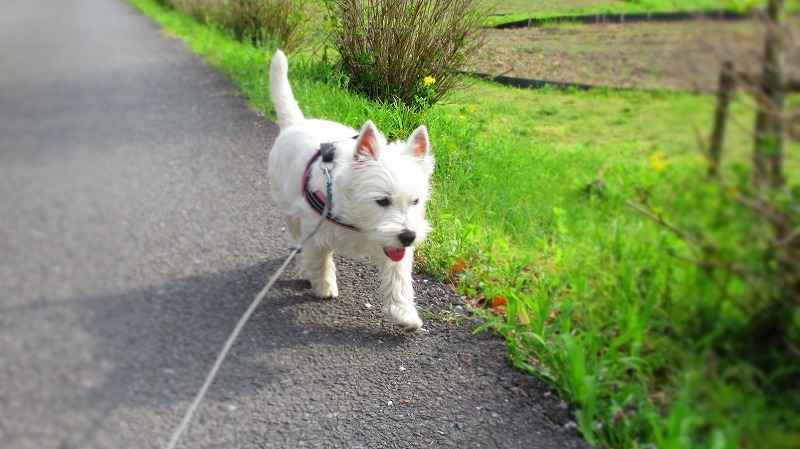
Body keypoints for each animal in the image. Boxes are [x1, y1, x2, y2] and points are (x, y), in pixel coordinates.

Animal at [268, 50, 434, 332]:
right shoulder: (315, 228)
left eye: (415, 201)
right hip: (288, 205)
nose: (408, 236)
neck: (358, 222)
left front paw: (405, 315)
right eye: (382, 201)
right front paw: (324, 285)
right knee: (296, 237)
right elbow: (318, 259)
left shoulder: (392, 246)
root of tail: (297, 123)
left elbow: (399, 279)